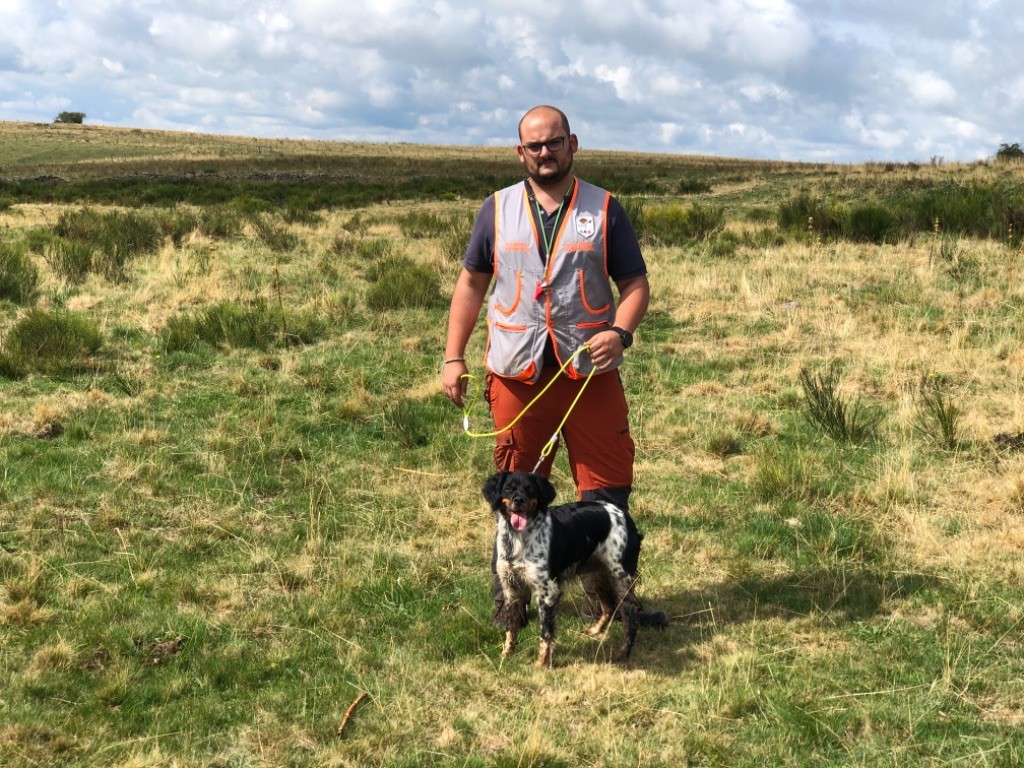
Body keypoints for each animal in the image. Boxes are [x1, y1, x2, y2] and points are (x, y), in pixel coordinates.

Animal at [483, 473, 667, 663]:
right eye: (508, 488)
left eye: (530, 489)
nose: (518, 500)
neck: (518, 538)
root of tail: (625, 516)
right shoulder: (511, 588)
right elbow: (511, 628)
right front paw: (506, 655)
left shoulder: (548, 591)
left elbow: (546, 633)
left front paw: (541, 664)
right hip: (597, 574)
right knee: (608, 607)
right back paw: (594, 631)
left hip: (620, 579)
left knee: (631, 620)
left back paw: (622, 654)